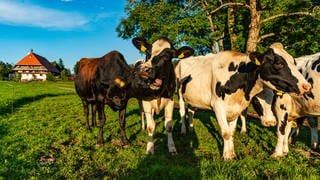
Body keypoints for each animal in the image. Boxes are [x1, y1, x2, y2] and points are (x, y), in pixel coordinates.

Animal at [174, 42, 312, 160]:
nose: (306, 86)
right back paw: (184, 130)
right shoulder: (218, 106)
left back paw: (191, 129)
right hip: (179, 94)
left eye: (293, 61)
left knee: (191, 110)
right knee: (182, 112)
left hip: (193, 98)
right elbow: (226, 133)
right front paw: (227, 157)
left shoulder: (236, 108)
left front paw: (232, 153)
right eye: (278, 63)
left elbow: (231, 132)